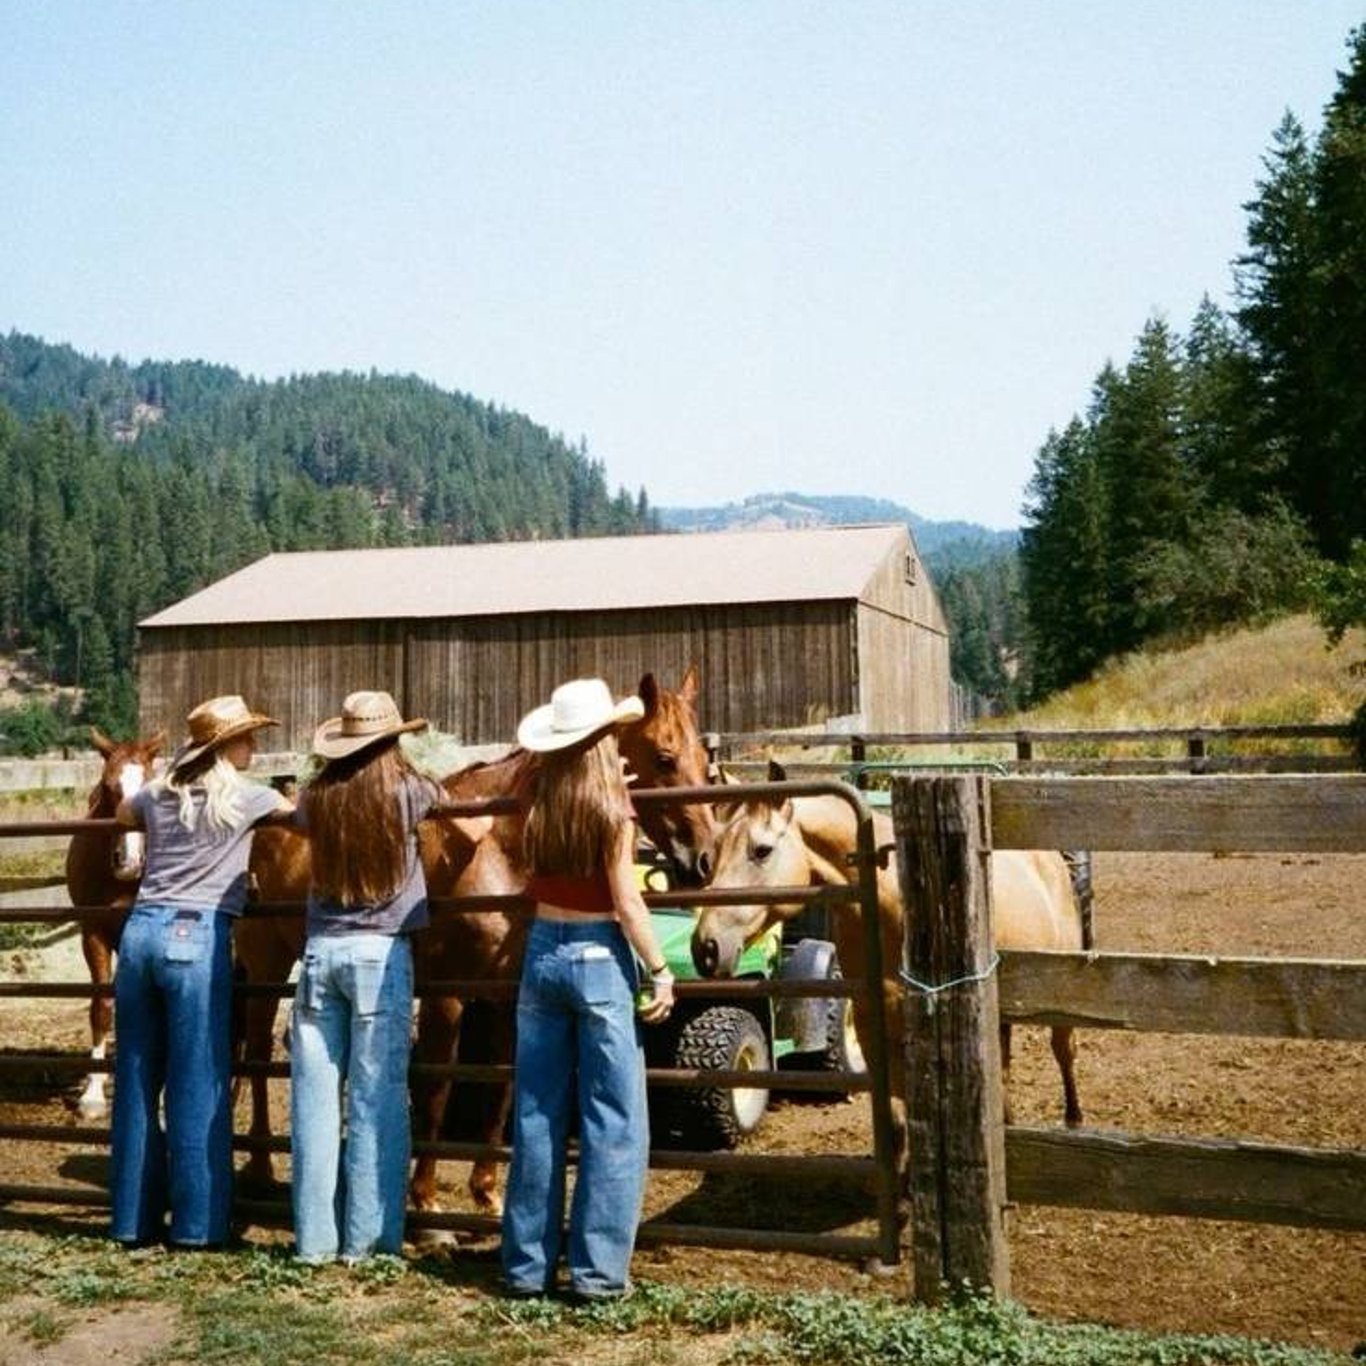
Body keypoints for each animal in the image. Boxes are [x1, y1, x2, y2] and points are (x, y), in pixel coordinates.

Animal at [63, 727, 166, 1118]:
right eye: (109, 788)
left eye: (151, 786)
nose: (130, 861)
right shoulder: (93, 934)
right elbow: (102, 1008)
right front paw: (92, 1095)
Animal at [691, 764, 1084, 1148]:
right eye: (714, 853)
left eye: (762, 850)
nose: (705, 947)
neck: (892, 900)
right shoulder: (871, 1027)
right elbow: (896, 1125)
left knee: (1063, 1050)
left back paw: (1074, 1123)